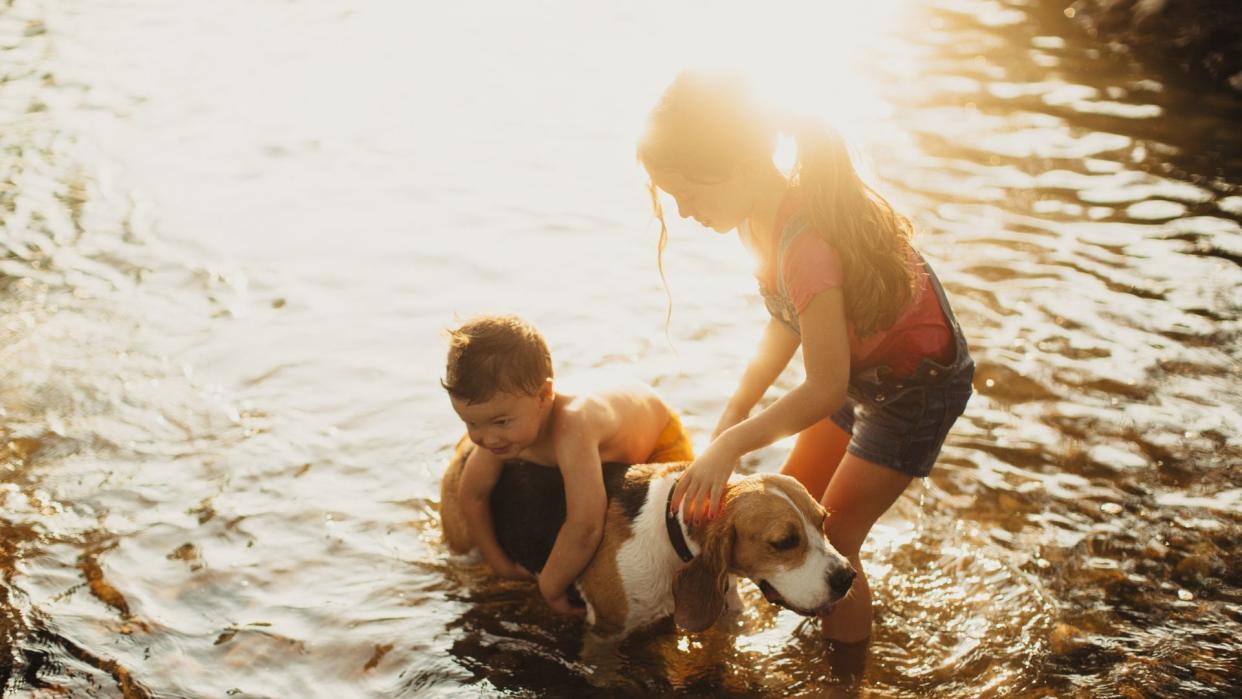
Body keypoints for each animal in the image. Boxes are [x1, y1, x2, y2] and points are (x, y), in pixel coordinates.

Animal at [437, 439, 854, 640]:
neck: (671, 537)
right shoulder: (607, 630)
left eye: (823, 521)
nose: (847, 577)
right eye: (783, 542)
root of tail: (471, 446)